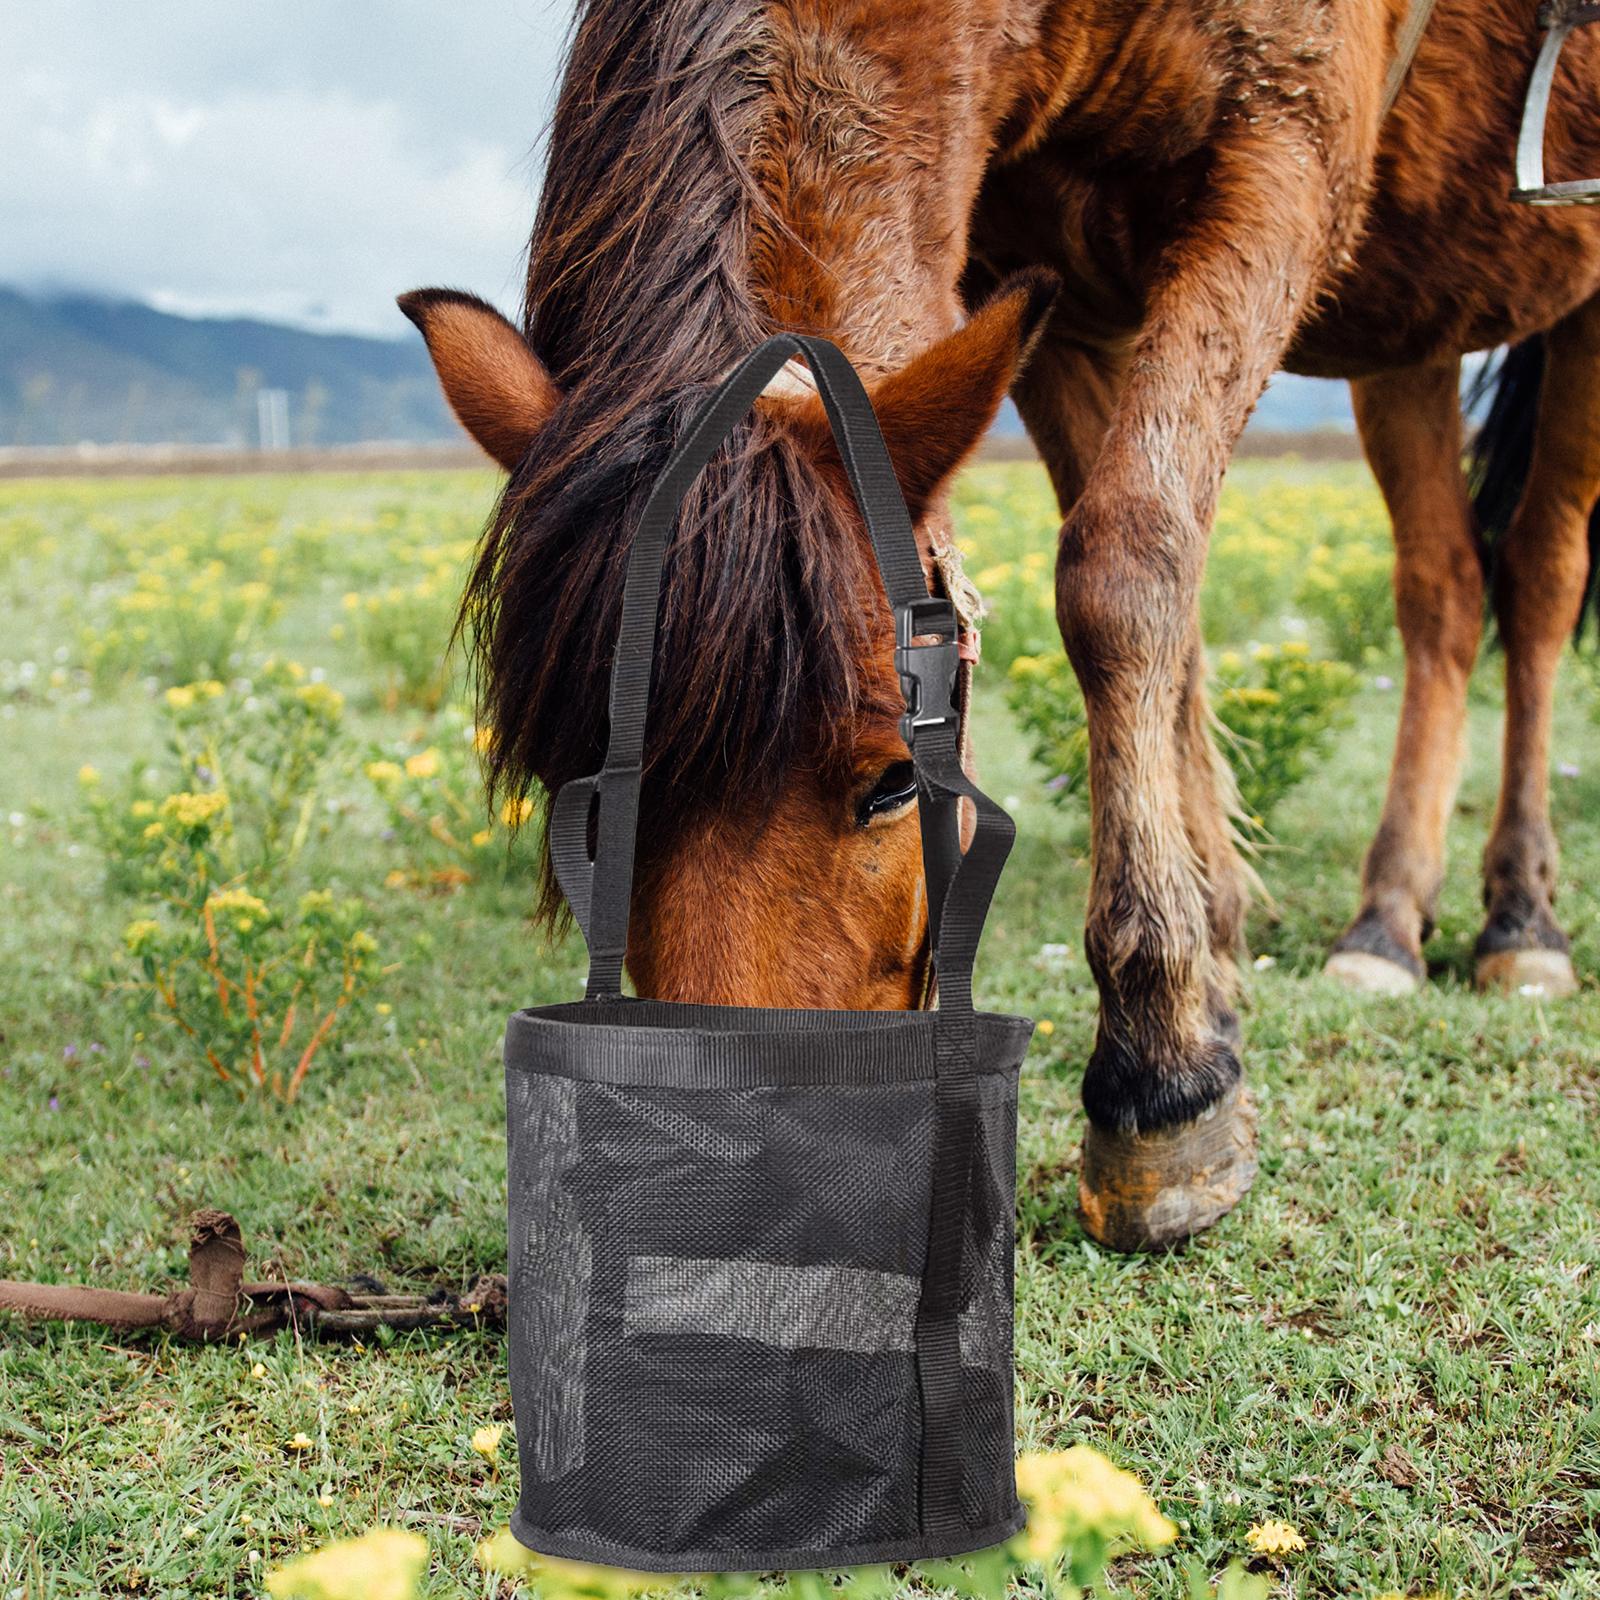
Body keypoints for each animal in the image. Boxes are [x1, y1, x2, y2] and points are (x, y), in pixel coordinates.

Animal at [401, 0, 1600, 1252]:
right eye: (586, 800)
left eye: (892, 780)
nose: (735, 1201)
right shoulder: (1054, 295)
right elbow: (1154, 592)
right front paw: (1212, 961)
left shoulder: (1288, 153)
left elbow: (1122, 567)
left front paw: (1162, 1071)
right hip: (1412, 331)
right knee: (1442, 587)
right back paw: (1385, 921)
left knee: (1542, 571)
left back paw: (1521, 917)